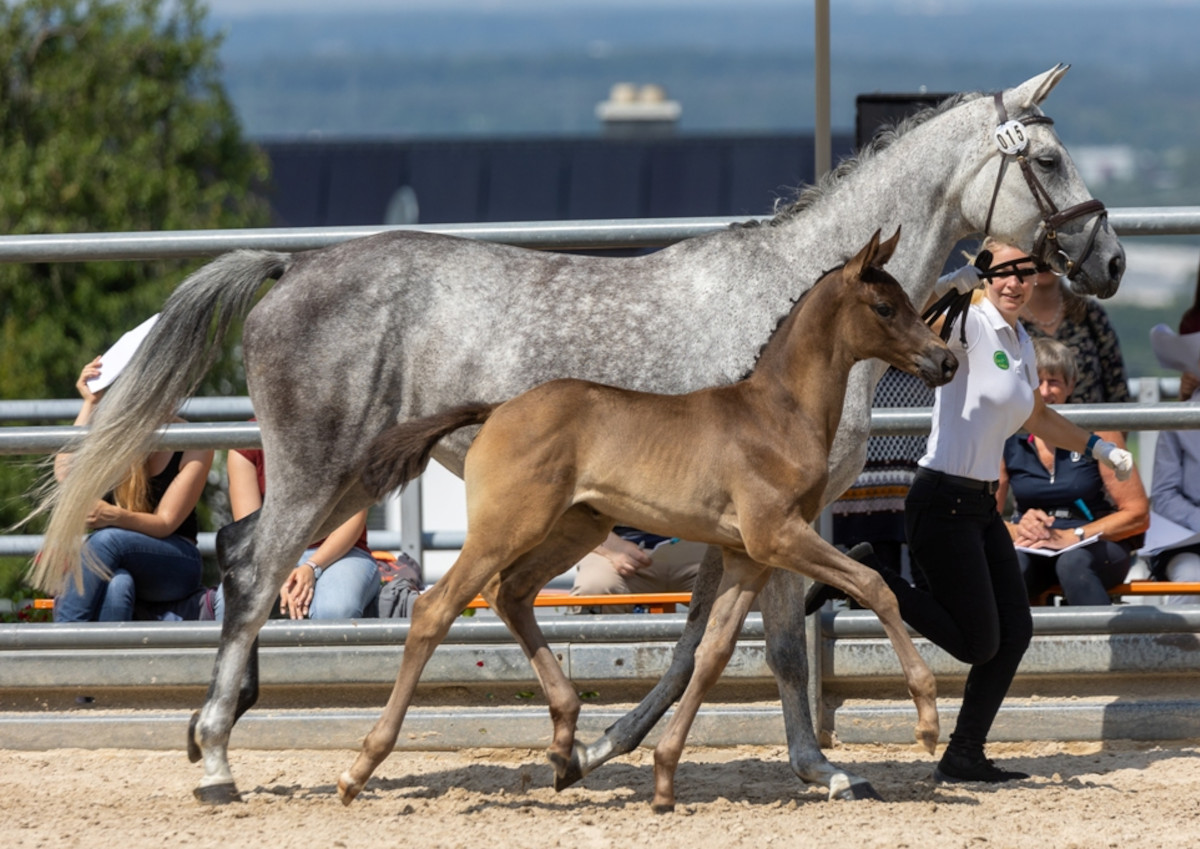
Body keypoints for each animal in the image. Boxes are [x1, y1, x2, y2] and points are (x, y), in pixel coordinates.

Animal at [336, 229, 955, 810]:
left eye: (908, 299)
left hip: (575, 529)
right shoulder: (778, 535)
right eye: (885, 307)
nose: (946, 360)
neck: (779, 414)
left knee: (509, 593)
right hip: (507, 528)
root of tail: (497, 409)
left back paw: (565, 742)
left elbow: (711, 654)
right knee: (436, 609)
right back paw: (359, 768)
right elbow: (874, 585)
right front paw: (927, 721)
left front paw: (663, 775)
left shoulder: (746, 555)